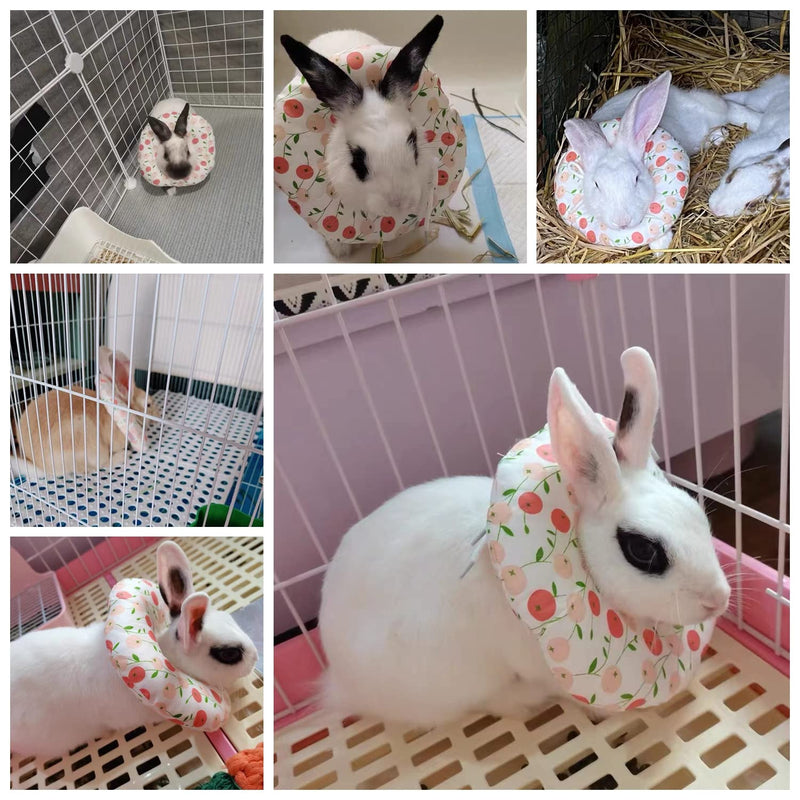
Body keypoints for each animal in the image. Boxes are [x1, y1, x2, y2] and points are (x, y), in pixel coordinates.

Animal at [12, 346, 159, 480]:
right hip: (88, 441)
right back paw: (123, 456)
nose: (158, 414)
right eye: (148, 404)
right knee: (98, 465)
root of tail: (40, 464)